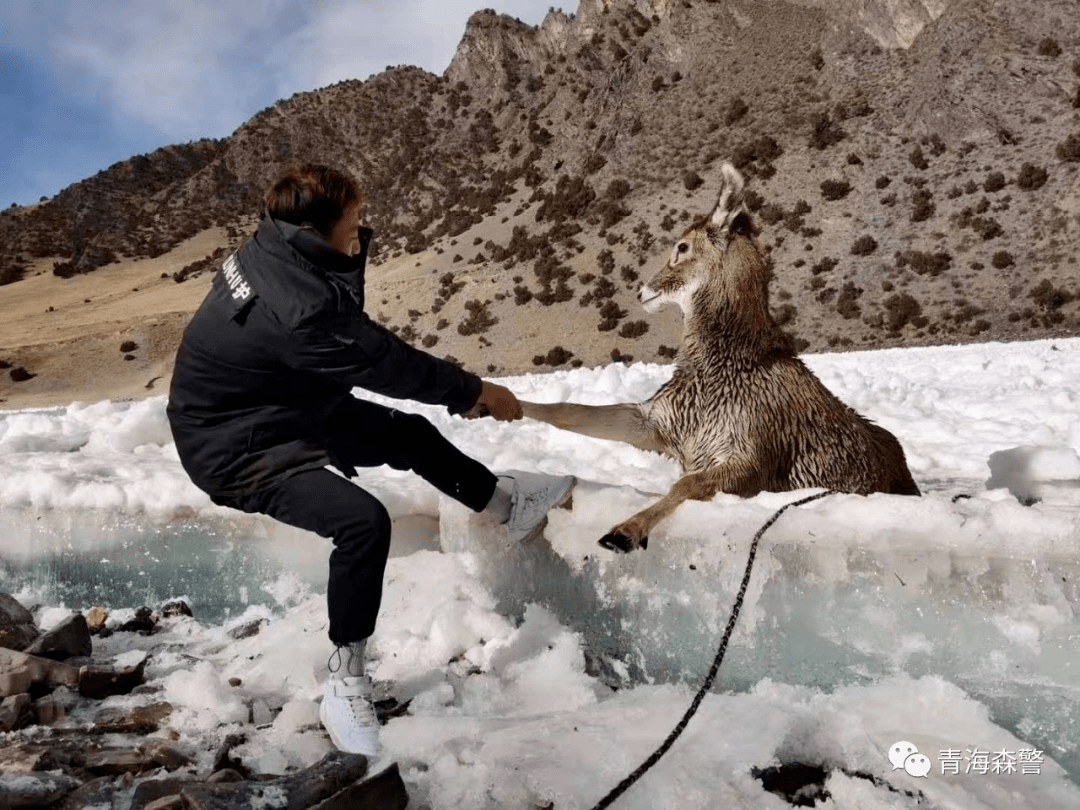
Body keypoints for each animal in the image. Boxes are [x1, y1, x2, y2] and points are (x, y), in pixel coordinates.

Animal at [501, 164, 915, 557]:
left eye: (682, 246)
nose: (643, 292)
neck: (724, 368)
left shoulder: (749, 459)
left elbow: (687, 483)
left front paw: (623, 533)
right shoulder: (658, 422)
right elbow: (567, 410)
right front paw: (507, 402)